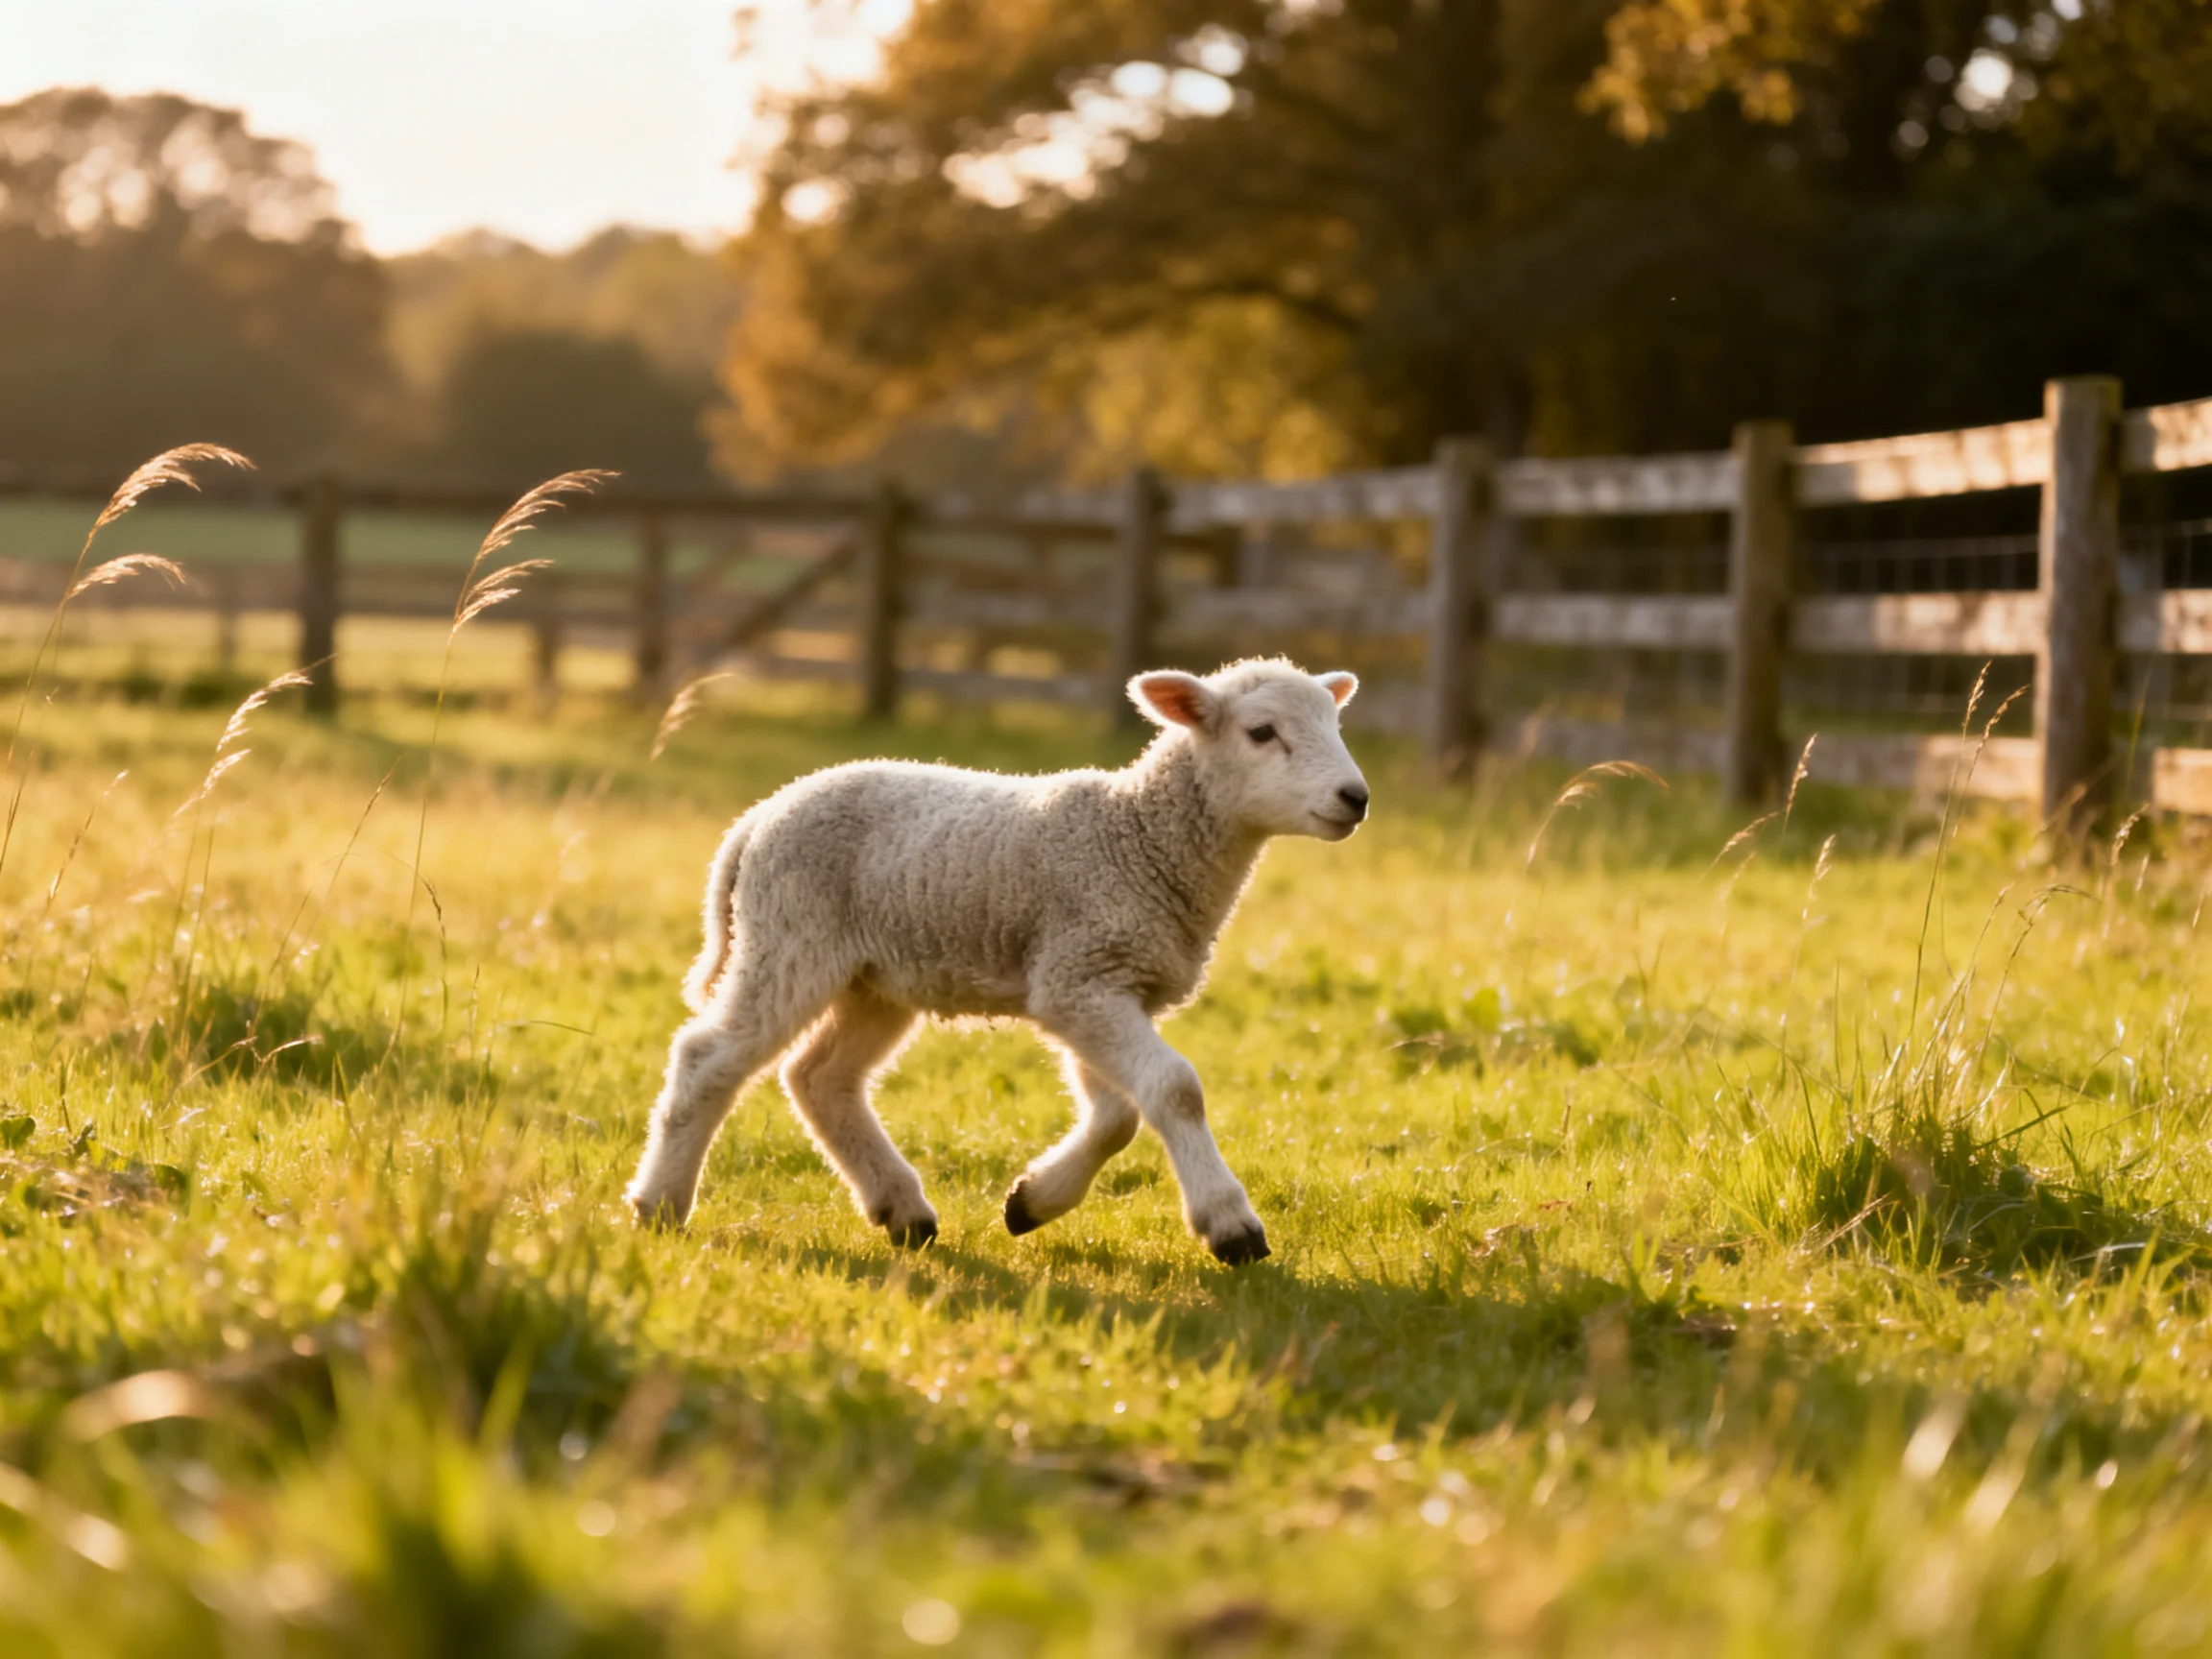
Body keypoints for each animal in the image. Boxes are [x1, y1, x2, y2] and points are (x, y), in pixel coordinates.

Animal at [623, 657, 1371, 1264]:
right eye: (1262, 732)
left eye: (1335, 723)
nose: (1355, 798)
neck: (1139, 836)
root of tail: (756, 819)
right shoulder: (1078, 976)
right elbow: (1174, 1089)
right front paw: (1231, 1227)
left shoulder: (1099, 982)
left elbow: (1117, 1116)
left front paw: (1033, 1201)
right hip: (788, 939)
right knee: (708, 1059)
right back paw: (660, 1205)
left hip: (875, 979)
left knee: (819, 1078)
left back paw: (903, 1212)